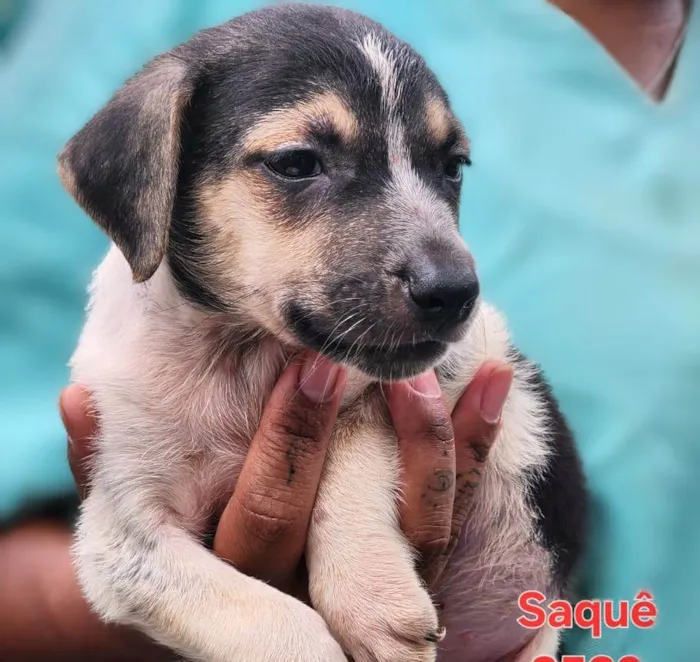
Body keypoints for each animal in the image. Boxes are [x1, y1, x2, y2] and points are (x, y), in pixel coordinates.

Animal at [57, 5, 588, 662]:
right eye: (297, 163)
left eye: (451, 169)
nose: (456, 292)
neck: (241, 352)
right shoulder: (126, 535)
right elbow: (269, 619)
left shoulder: (450, 364)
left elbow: (352, 438)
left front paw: (371, 591)